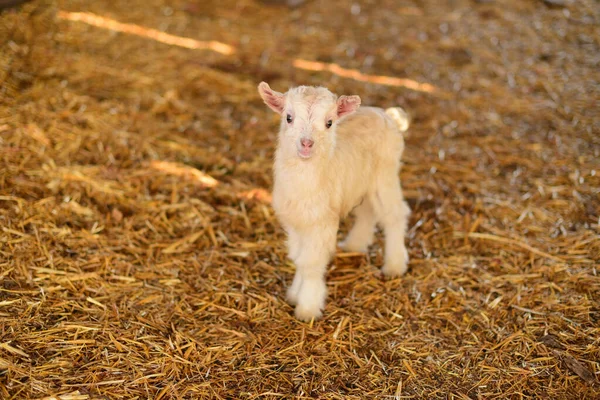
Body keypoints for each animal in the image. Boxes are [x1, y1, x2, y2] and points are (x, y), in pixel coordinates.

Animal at [258, 82, 412, 322]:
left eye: (329, 123)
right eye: (289, 117)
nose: (306, 143)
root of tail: (387, 114)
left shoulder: (322, 223)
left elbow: (312, 263)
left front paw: (308, 308)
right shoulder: (296, 223)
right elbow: (299, 259)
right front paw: (294, 294)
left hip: (385, 176)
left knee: (394, 215)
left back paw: (394, 265)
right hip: (361, 182)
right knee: (368, 213)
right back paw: (354, 244)